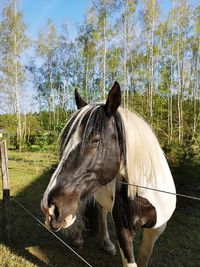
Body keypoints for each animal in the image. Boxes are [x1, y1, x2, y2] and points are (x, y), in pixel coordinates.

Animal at [41, 82, 177, 267]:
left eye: (95, 139)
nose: (49, 207)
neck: (147, 192)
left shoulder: (156, 230)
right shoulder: (123, 231)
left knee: (101, 212)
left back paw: (106, 244)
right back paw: (79, 240)